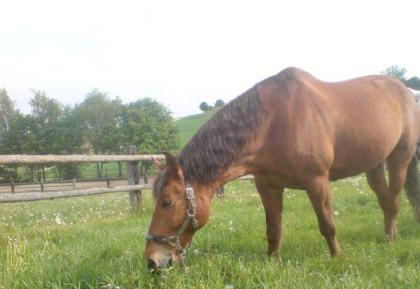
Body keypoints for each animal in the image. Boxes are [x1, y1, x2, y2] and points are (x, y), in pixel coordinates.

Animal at [145, 67, 420, 270]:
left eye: (167, 202)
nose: (152, 261)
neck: (273, 124)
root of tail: (406, 91)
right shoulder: (267, 186)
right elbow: (274, 229)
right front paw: (273, 262)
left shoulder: (317, 182)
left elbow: (327, 224)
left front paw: (337, 258)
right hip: (374, 166)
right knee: (385, 200)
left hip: (400, 159)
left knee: (394, 201)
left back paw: (391, 241)